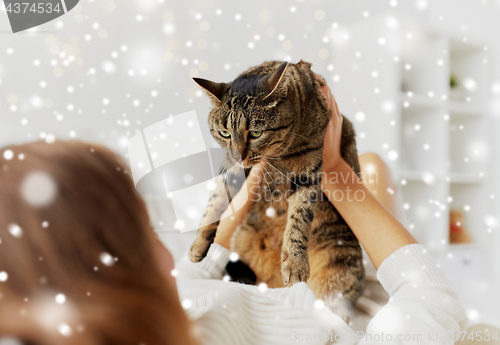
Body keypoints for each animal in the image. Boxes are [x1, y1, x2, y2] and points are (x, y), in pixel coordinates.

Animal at [189, 59, 366, 320]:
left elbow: (298, 220)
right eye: (224, 133)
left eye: (256, 132)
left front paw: (294, 263)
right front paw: (199, 244)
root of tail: (273, 287)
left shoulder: (308, 173)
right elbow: (215, 201)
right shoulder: (231, 168)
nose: (238, 155)